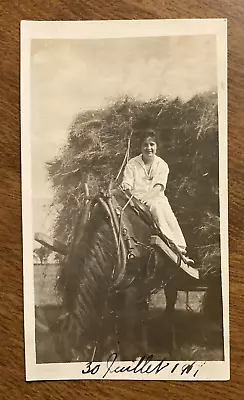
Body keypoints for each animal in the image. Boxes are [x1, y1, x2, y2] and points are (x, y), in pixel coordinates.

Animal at [52, 186, 203, 360]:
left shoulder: (130, 292)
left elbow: (127, 344)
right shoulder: (110, 293)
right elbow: (104, 335)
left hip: (170, 280)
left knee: (169, 312)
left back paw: (172, 350)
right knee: (144, 315)